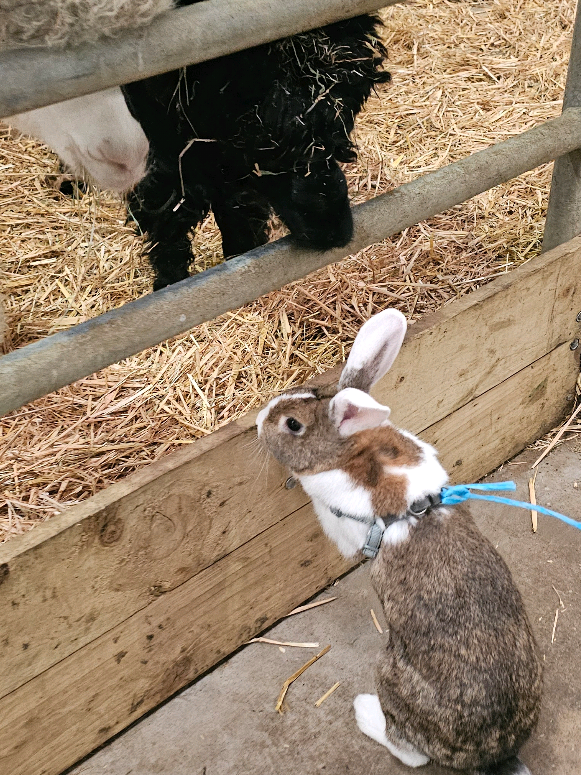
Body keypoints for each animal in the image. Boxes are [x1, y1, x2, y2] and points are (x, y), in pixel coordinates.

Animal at [122, 9, 390, 289]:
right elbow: (168, 211)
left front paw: (242, 254)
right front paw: (170, 281)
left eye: (344, 125)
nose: (336, 234)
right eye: (267, 141)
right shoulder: (165, 144)